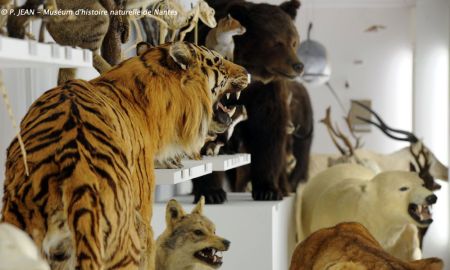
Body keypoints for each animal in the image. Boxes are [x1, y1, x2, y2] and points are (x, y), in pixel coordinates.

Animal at [191, 0, 312, 202]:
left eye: (294, 41)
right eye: (277, 42)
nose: (298, 66)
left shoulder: (266, 92)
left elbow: (268, 134)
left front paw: (268, 190)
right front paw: (211, 192)